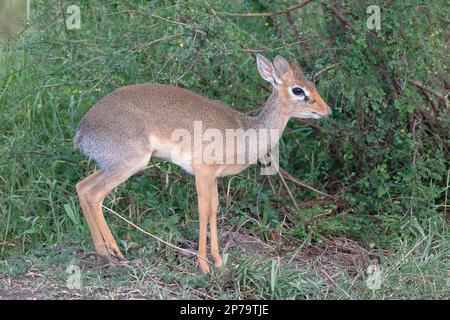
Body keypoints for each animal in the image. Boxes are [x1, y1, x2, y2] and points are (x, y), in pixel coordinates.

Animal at [74, 54, 330, 272]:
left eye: (312, 84)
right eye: (298, 90)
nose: (326, 111)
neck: (245, 131)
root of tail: (83, 129)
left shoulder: (214, 177)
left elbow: (214, 209)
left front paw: (218, 261)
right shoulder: (203, 172)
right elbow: (203, 209)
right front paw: (204, 266)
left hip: (112, 165)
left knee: (82, 187)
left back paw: (103, 252)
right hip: (129, 164)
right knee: (95, 195)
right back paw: (116, 253)